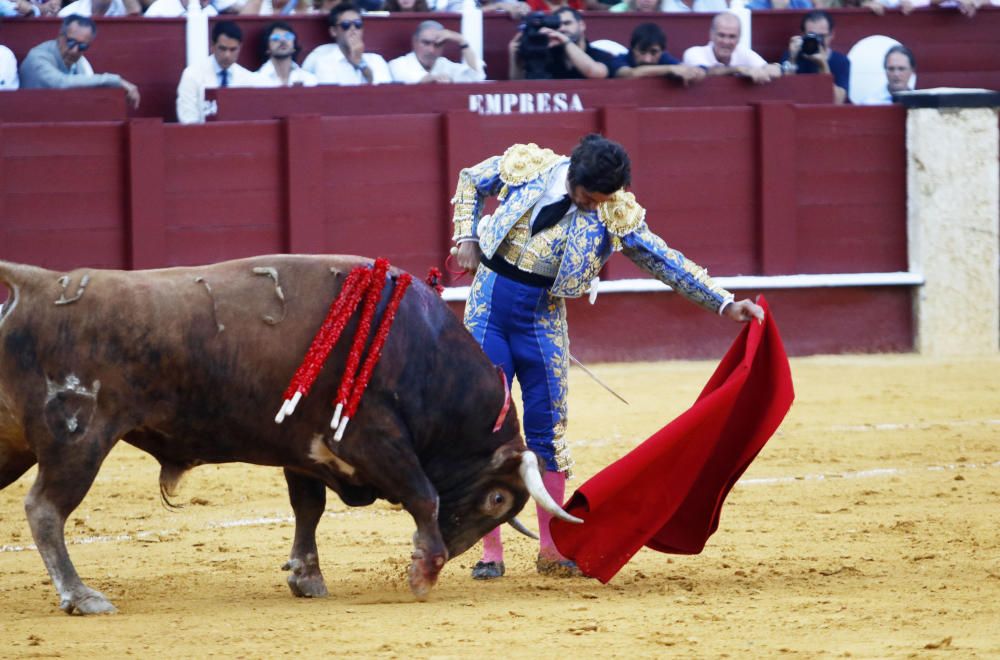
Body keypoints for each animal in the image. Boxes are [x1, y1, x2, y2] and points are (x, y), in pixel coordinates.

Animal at [0, 255, 580, 616]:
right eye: (498, 498)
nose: (458, 553)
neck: (422, 353)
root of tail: (39, 284)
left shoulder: (306, 451)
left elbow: (309, 508)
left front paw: (307, 578)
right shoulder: (372, 439)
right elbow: (424, 494)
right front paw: (422, 572)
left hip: (17, 444)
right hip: (79, 441)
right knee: (45, 510)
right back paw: (81, 596)